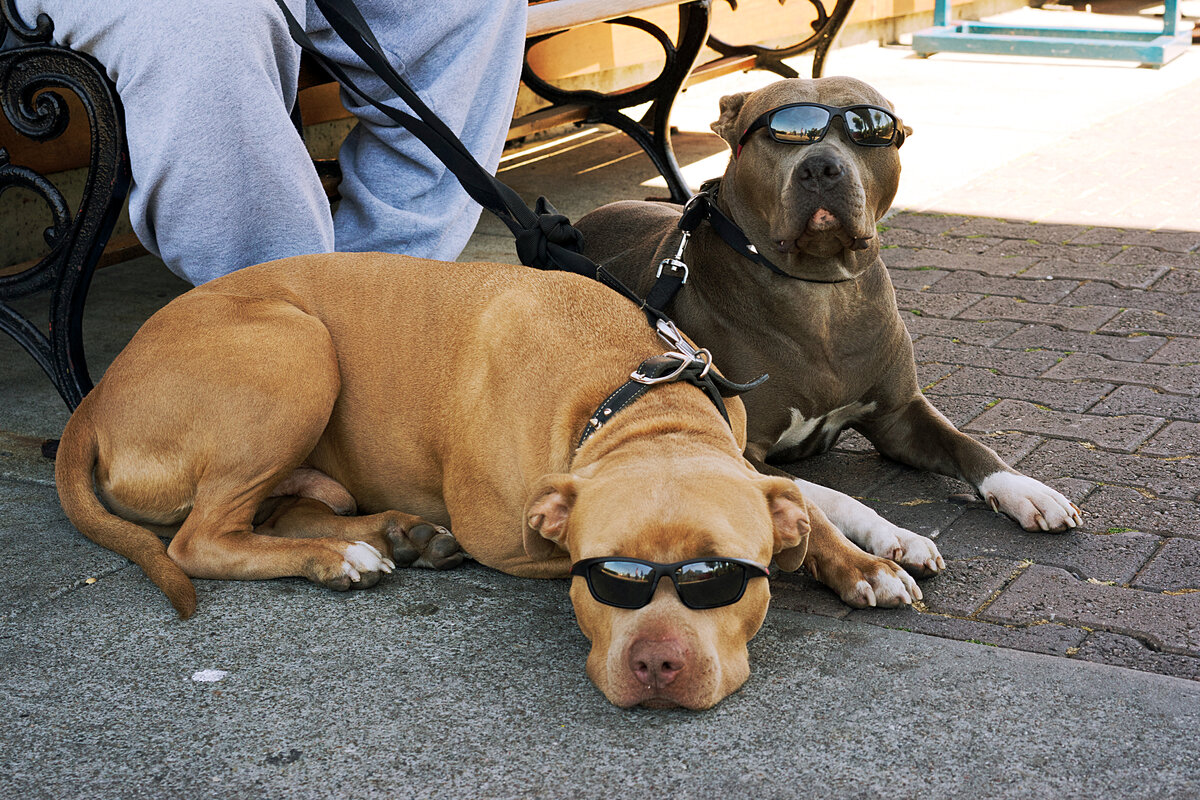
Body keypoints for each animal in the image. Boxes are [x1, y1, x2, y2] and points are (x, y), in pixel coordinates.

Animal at [58, 253, 916, 710]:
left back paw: (393, 533)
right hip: (295, 349)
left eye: (716, 577)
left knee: (279, 511)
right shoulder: (517, 539)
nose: (657, 666)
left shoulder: (740, 456)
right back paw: (343, 556)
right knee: (201, 539)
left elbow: (808, 501)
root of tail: (96, 397)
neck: (638, 402)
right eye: (603, 578)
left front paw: (871, 555)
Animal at [576, 76, 1084, 606]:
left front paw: (1026, 490)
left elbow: (966, 444)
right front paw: (874, 555)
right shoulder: (741, 450)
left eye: (870, 128)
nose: (821, 166)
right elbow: (819, 503)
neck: (820, 293)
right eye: (779, 132)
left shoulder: (899, 415)